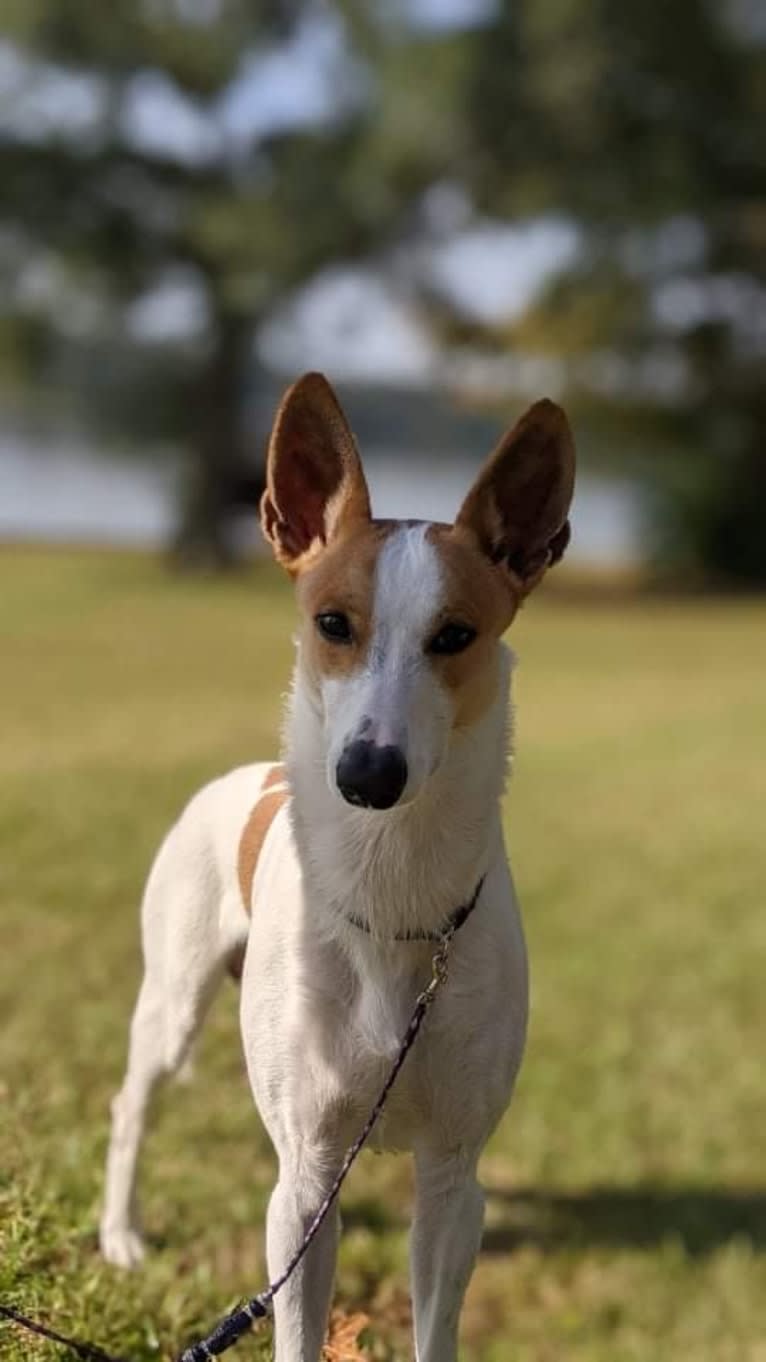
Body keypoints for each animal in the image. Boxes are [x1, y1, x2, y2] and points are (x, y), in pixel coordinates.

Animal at [98, 373, 572, 1362]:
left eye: (456, 635)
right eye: (331, 624)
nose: (366, 774)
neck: (392, 894)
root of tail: (250, 774)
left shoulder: (452, 1178)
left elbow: (437, 1323)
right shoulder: (308, 1182)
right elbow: (295, 1319)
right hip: (173, 1002)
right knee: (131, 1106)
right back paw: (119, 1233)